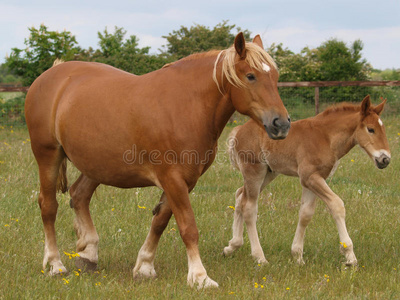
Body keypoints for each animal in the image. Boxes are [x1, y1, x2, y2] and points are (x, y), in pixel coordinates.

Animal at [25, 32, 290, 288]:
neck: (186, 106)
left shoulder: (184, 181)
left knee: (79, 195)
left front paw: (144, 266)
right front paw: (200, 276)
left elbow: (160, 221)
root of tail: (51, 75)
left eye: (275, 76)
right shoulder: (172, 179)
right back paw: (55, 264)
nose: (281, 124)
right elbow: (188, 227)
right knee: (48, 206)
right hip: (48, 155)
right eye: (250, 76)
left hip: (96, 165)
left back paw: (88, 254)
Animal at [225, 95, 390, 264]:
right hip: (254, 171)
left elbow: (305, 214)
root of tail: (239, 130)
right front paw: (349, 256)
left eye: (383, 129)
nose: (385, 159)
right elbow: (337, 205)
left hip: (268, 173)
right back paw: (260, 257)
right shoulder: (310, 177)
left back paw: (232, 246)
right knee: (249, 207)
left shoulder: (314, 180)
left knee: (240, 195)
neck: (326, 137)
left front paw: (297, 256)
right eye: (371, 129)